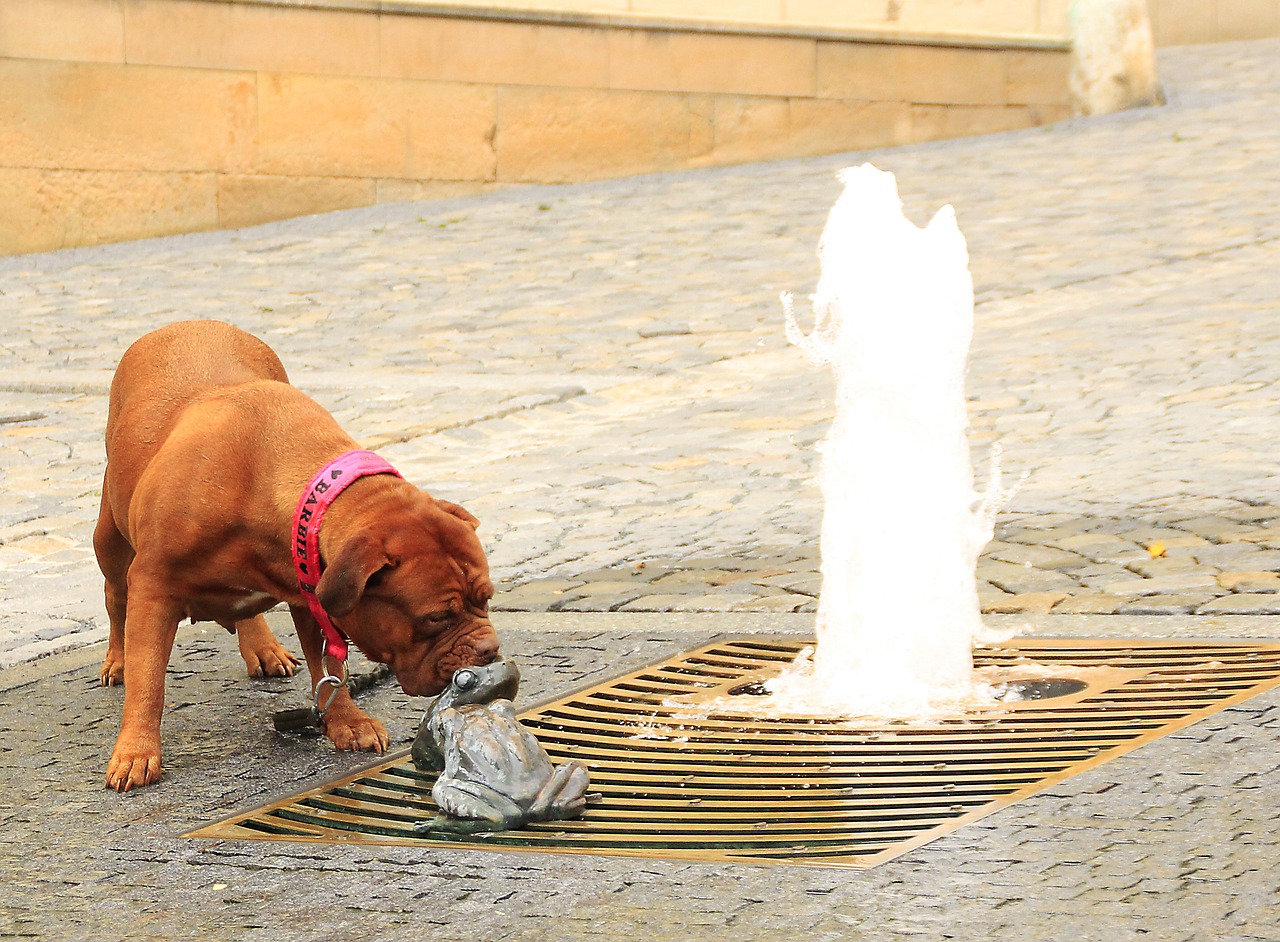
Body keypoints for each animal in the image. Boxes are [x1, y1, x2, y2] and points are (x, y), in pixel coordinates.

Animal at [93, 319, 499, 793]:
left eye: (486, 599)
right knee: (115, 596)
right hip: (111, 537)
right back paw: (117, 659)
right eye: (436, 618)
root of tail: (183, 323)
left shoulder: (312, 589)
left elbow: (328, 669)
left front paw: (347, 721)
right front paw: (136, 751)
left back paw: (263, 647)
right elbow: (149, 679)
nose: (490, 648)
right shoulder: (154, 586)